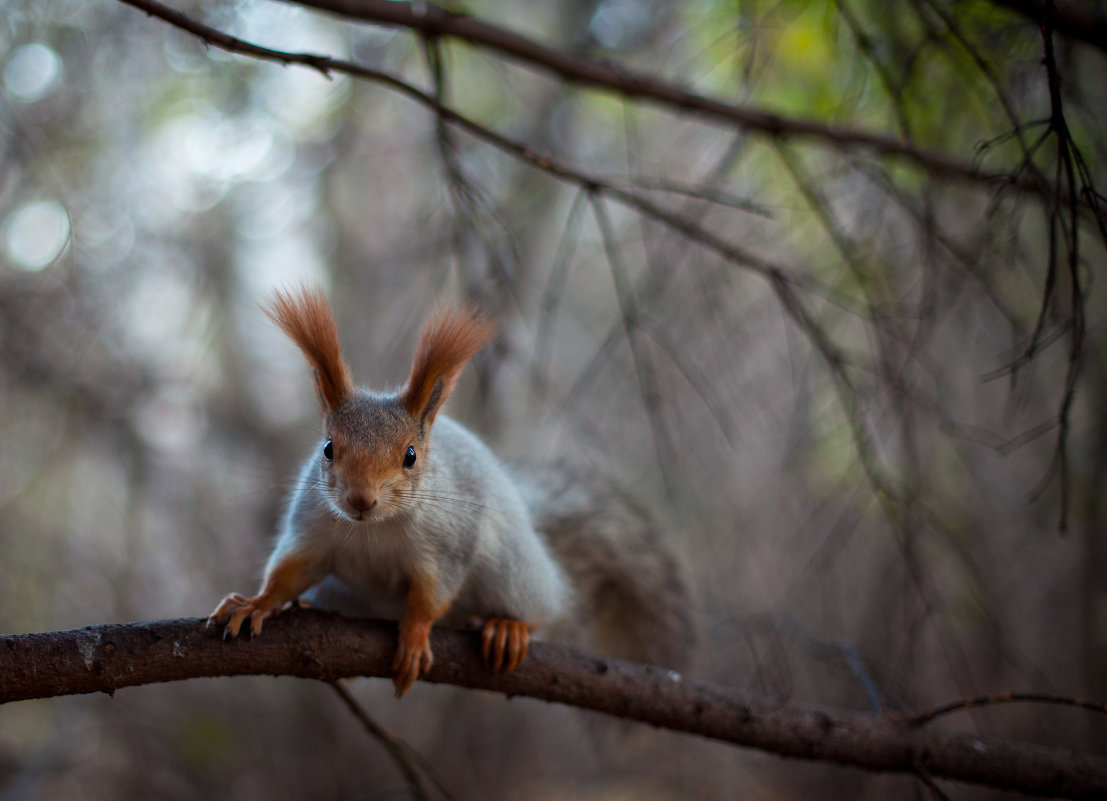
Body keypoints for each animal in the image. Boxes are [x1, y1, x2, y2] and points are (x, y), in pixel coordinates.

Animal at [208, 285, 690, 694]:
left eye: (410, 455)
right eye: (328, 449)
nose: (360, 500)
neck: (373, 528)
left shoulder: (447, 546)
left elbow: (430, 596)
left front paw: (415, 638)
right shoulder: (312, 527)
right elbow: (290, 571)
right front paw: (256, 603)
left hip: (511, 569)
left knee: (543, 608)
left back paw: (509, 627)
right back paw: (312, 610)